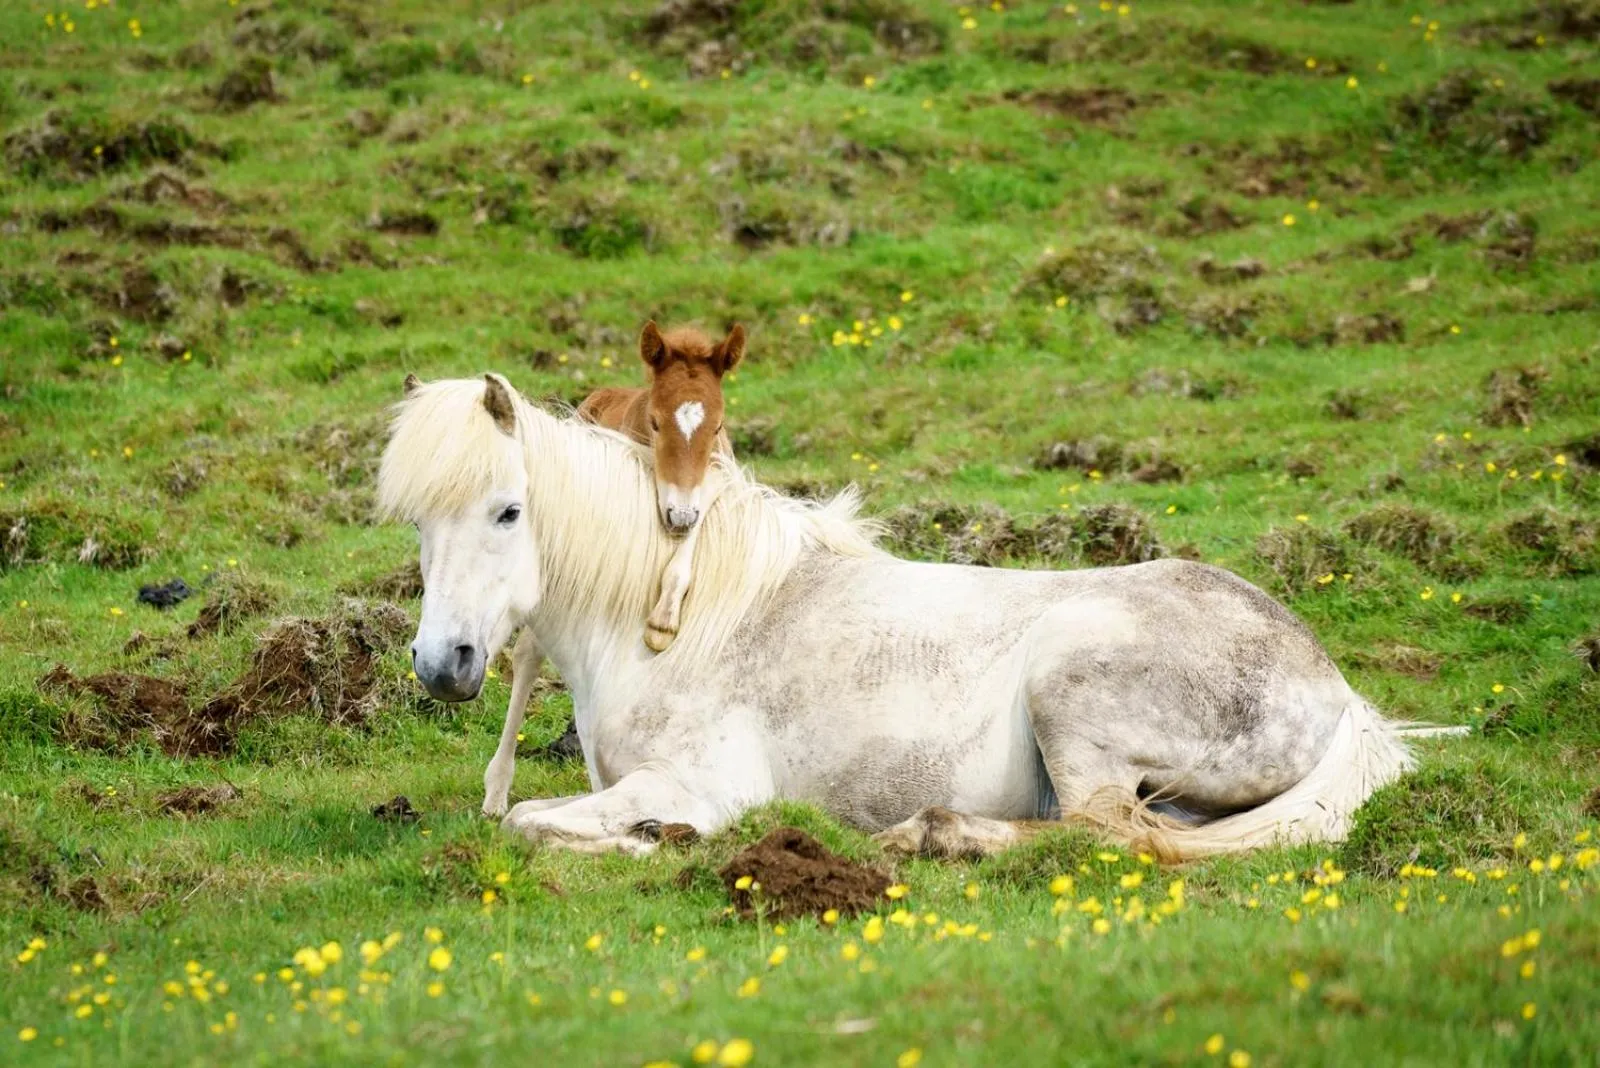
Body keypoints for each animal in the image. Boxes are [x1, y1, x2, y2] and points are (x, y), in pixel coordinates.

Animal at [380, 374, 1448, 860]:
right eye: (419, 521)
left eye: (508, 510)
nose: (443, 663)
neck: (677, 619)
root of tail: (1333, 685)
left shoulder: (699, 780)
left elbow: (529, 821)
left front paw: (655, 836)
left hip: (1072, 695)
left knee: (1106, 833)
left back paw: (935, 835)